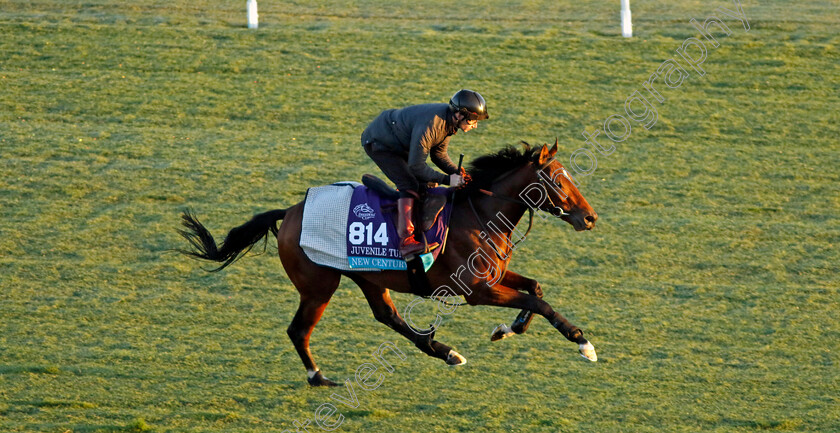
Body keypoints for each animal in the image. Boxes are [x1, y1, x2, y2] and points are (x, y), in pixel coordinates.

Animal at [177, 141, 596, 384]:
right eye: (558, 180)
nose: (589, 217)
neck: (480, 213)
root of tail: (292, 211)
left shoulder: (495, 276)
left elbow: (535, 290)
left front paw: (508, 329)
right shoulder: (477, 291)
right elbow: (538, 302)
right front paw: (582, 342)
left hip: (368, 278)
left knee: (388, 317)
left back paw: (443, 350)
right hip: (319, 285)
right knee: (299, 330)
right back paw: (319, 377)